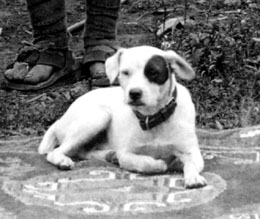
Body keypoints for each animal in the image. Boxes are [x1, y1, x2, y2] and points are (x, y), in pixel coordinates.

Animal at [38, 45, 207, 188]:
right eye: (125, 72)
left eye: (153, 72)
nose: (134, 93)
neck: (151, 118)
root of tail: (60, 119)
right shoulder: (126, 154)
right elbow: (146, 163)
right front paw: (160, 164)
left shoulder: (191, 152)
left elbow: (191, 164)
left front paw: (193, 177)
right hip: (97, 117)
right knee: (57, 152)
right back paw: (64, 160)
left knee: (82, 151)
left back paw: (109, 155)